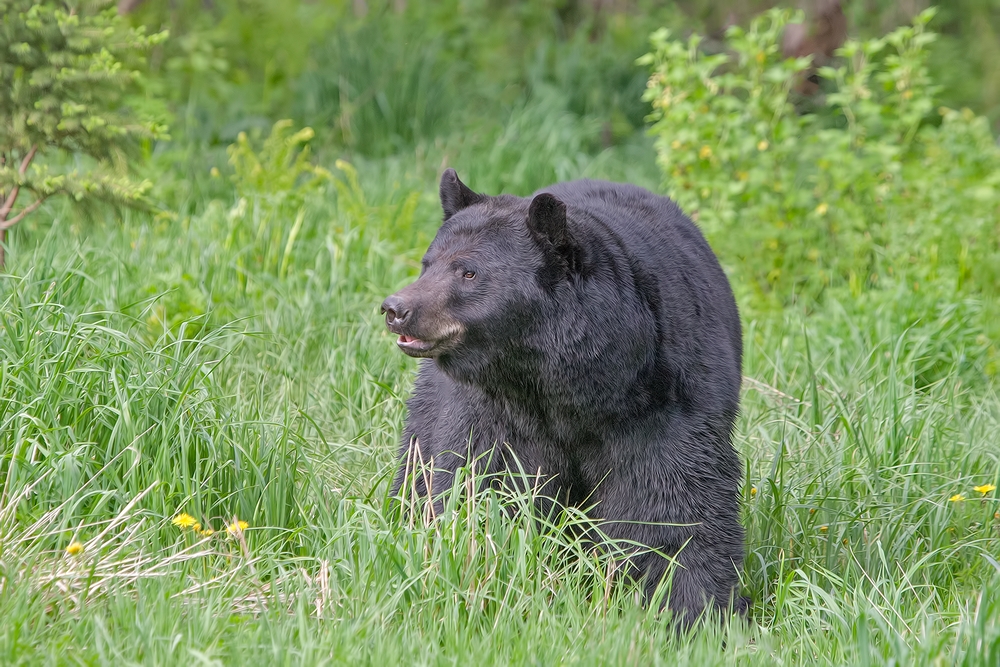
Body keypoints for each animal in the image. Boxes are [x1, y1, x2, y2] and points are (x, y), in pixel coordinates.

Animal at [386, 168, 748, 628]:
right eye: (427, 263)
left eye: (468, 272)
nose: (396, 308)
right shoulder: (493, 411)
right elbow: (485, 481)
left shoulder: (663, 401)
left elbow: (672, 501)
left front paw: (691, 608)